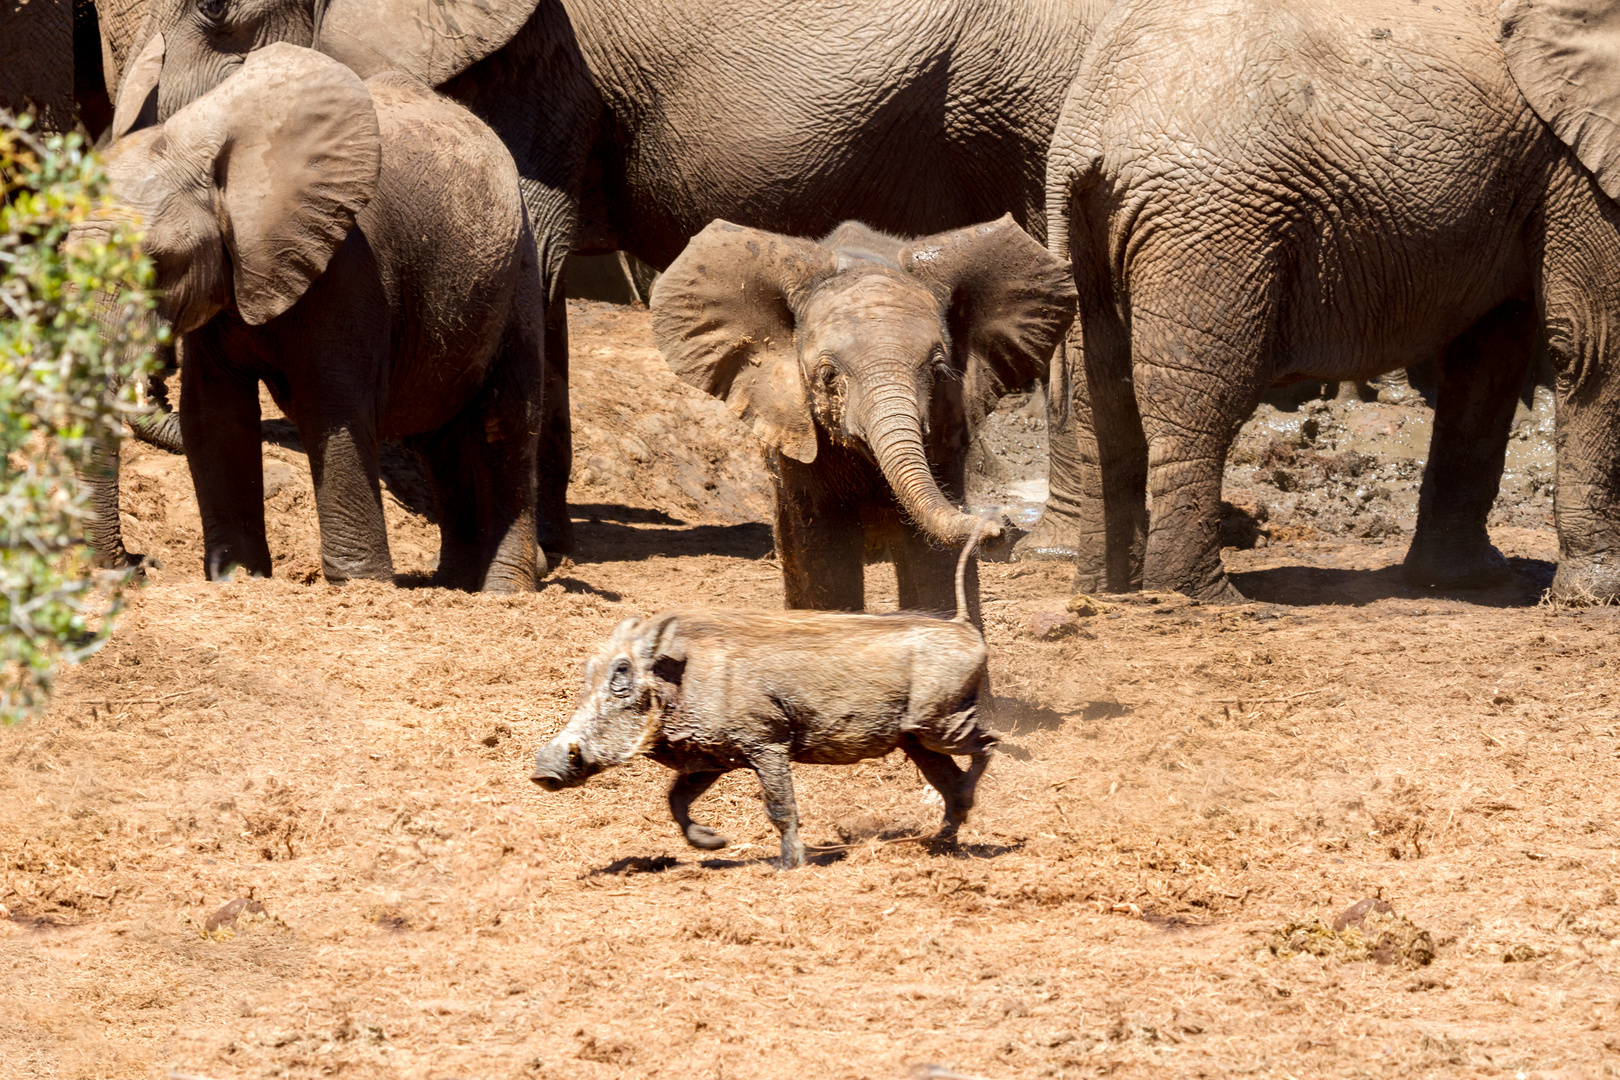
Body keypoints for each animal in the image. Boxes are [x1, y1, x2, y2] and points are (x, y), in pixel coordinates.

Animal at [82, 42, 547, 592]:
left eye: (156, 263)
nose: (137, 564)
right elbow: (213, 412)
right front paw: (238, 578)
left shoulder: (350, 263)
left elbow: (332, 405)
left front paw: (362, 586)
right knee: (441, 440)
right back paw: (453, 586)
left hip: (519, 274)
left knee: (506, 427)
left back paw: (504, 592)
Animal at [110, 0, 1114, 557]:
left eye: (215, 9)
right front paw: (541, 534)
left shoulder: (541, 56)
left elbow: (536, 234)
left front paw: (536, 543)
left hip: (1028, 78)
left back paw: (1052, 547)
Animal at [531, 524, 991, 867]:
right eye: (589, 672)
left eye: (621, 676)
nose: (543, 771)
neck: (682, 681)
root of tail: (965, 626)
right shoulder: (710, 757)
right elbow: (675, 801)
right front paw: (713, 843)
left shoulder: (766, 744)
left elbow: (780, 807)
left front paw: (788, 866)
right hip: (918, 740)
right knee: (951, 782)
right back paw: (941, 841)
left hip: (938, 726)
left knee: (987, 746)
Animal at [1043, 0, 1620, 605]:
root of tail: (1082, 138)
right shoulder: (1574, 165)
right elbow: (1591, 344)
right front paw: (1599, 597)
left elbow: (1490, 359)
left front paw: (1469, 579)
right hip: (1208, 229)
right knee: (1198, 401)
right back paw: (1202, 597)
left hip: (1101, 234)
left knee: (1102, 402)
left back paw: (1108, 590)